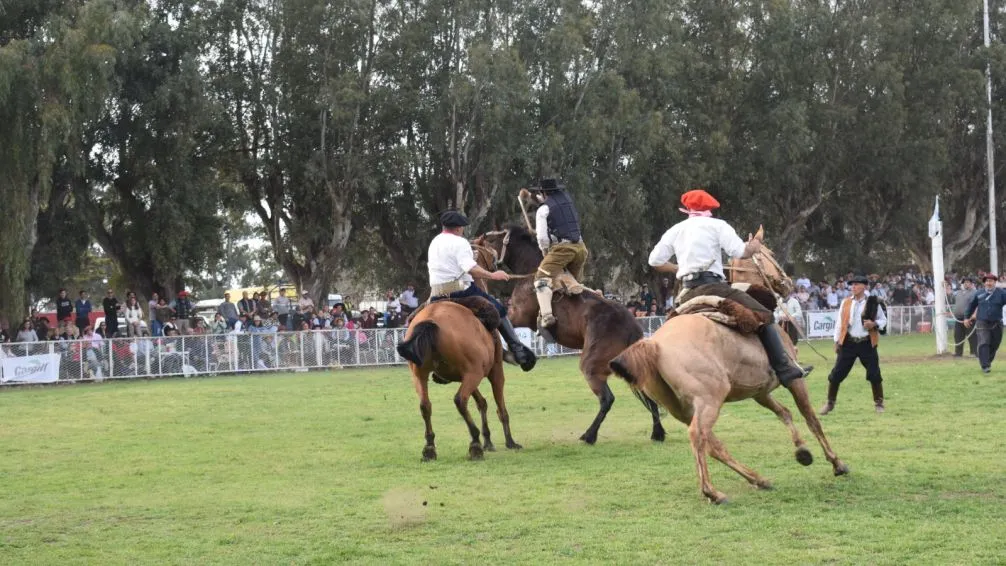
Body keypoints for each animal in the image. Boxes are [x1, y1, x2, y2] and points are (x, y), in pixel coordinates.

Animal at [394, 299, 523, 462]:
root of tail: (431, 320)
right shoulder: (492, 371)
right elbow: (500, 408)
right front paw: (510, 442)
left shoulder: (466, 376)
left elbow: (481, 402)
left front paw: (488, 440)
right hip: (475, 373)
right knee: (460, 400)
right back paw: (475, 443)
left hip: (420, 375)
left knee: (425, 405)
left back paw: (429, 448)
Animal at [472, 228, 663, 444]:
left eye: (487, 241)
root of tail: (631, 325)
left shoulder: (517, 315)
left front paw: (520, 354)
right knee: (648, 394)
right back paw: (657, 433)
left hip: (591, 366)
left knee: (607, 399)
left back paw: (589, 435)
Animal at [603, 301, 849, 504]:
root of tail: (654, 343)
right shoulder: (795, 381)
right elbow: (811, 418)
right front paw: (836, 463)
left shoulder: (760, 392)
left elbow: (784, 412)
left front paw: (802, 450)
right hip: (710, 401)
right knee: (698, 436)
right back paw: (713, 492)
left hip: (686, 409)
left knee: (713, 446)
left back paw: (757, 480)